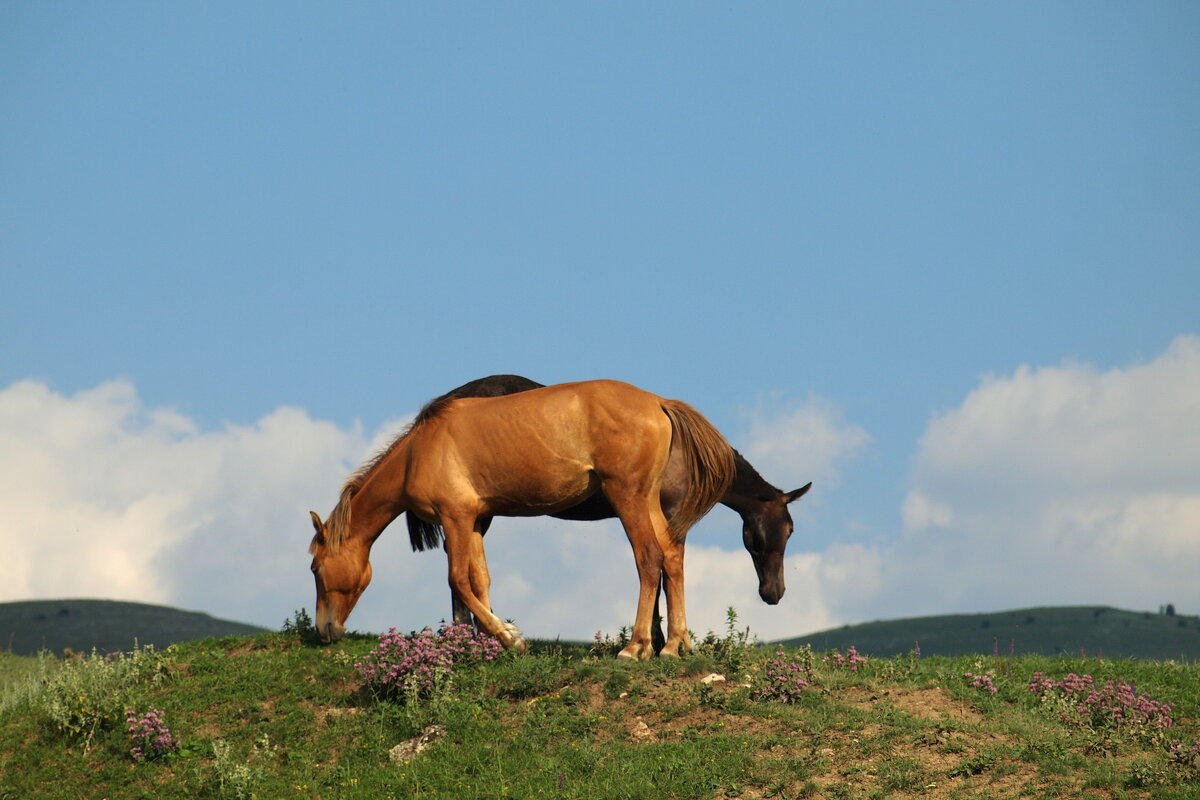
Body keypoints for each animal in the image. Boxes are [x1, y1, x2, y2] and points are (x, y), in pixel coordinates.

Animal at [309, 379, 734, 662]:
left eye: (314, 567)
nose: (324, 630)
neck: (420, 451)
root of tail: (659, 403)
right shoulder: (474, 521)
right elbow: (480, 579)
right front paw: (490, 637)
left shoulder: (455, 517)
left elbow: (458, 579)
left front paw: (509, 637)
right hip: (647, 501)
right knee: (672, 555)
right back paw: (676, 644)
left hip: (628, 498)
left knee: (649, 558)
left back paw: (636, 647)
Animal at [410, 376, 816, 633]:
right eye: (762, 536)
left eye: (791, 532)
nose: (774, 593)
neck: (682, 451)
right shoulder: (669, 515)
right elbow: (663, 571)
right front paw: (658, 640)